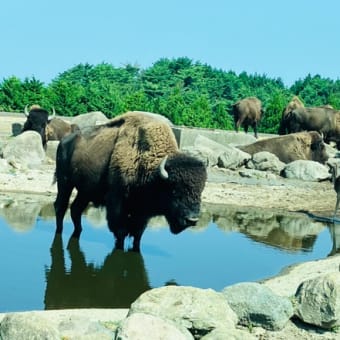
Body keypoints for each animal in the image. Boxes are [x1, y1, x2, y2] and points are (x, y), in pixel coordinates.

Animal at [53, 110, 207, 251]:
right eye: (174, 190)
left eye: (200, 191)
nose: (192, 220)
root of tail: (64, 141)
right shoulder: (116, 202)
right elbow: (121, 232)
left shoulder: (142, 213)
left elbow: (137, 235)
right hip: (65, 182)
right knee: (61, 206)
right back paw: (59, 232)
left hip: (85, 192)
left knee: (75, 209)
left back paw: (77, 232)